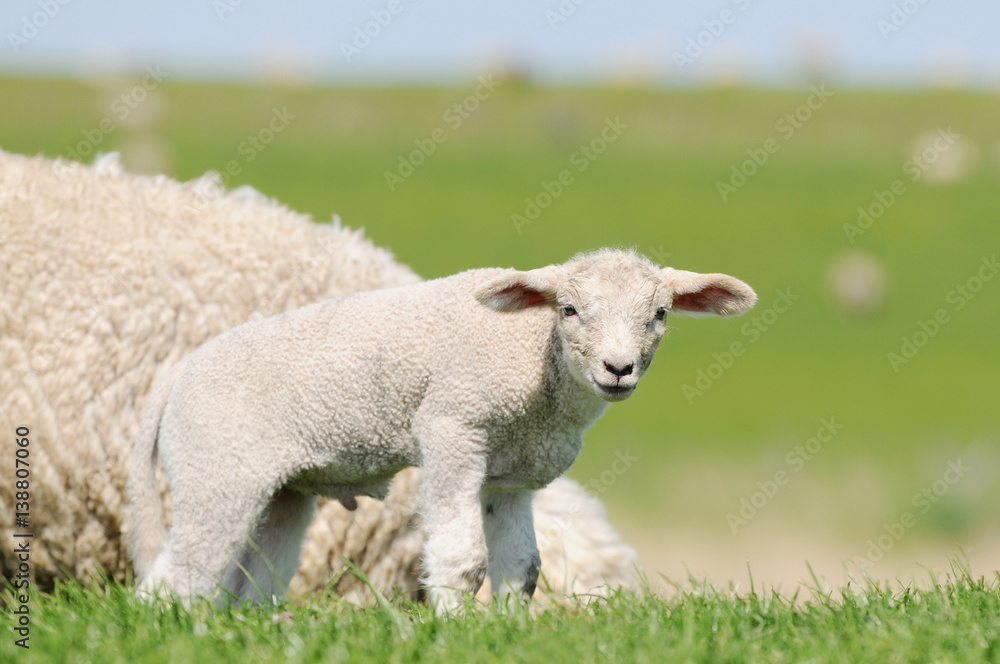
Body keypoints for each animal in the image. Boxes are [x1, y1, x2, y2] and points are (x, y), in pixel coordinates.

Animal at [131, 249, 756, 612]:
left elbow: (523, 567)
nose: (618, 369)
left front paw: (510, 631)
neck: (536, 359)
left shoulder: (512, 475)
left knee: (252, 582)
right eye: (570, 310)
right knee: (177, 578)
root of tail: (177, 376)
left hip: (281, 489)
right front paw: (452, 629)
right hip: (217, 470)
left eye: (660, 314)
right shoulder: (453, 428)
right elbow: (463, 558)